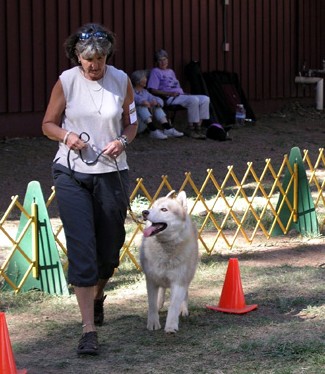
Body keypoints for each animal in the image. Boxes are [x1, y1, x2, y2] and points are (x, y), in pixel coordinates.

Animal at [139, 190, 197, 334]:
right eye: (152, 207)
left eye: (164, 209)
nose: (144, 212)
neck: (166, 247)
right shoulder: (151, 279)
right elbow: (152, 304)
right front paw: (153, 323)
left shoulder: (179, 281)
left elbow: (174, 306)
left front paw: (171, 326)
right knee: (162, 289)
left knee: (184, 294)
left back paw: (184, 309)